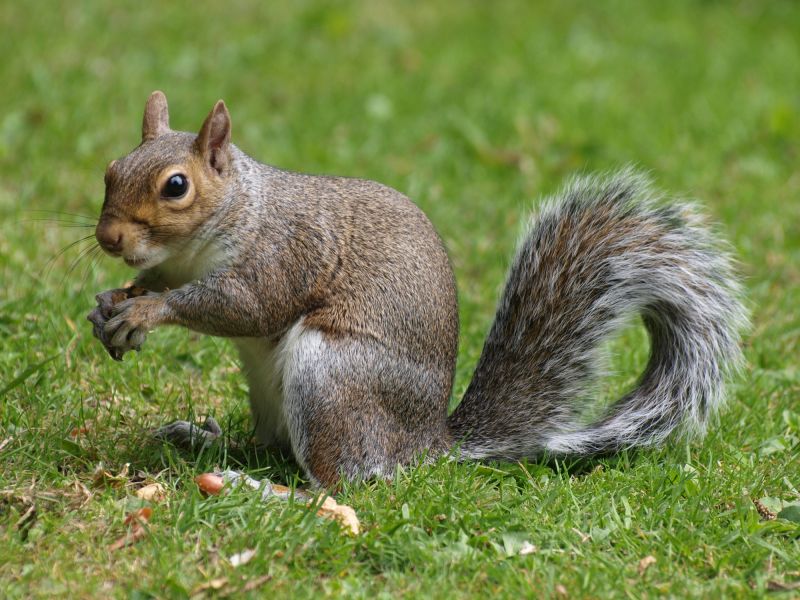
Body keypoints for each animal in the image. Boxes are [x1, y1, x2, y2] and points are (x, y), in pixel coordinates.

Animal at [87, 91, 747, 487]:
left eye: (176, 186)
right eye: (111, 170)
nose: (108, 237)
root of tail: (427, 444)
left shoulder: (284, 253)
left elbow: (243, 306)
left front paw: (148, 311)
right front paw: (112, 304)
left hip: (331, 376)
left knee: (339, 485)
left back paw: (256, 488)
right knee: (273, 447)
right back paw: (206, 443)